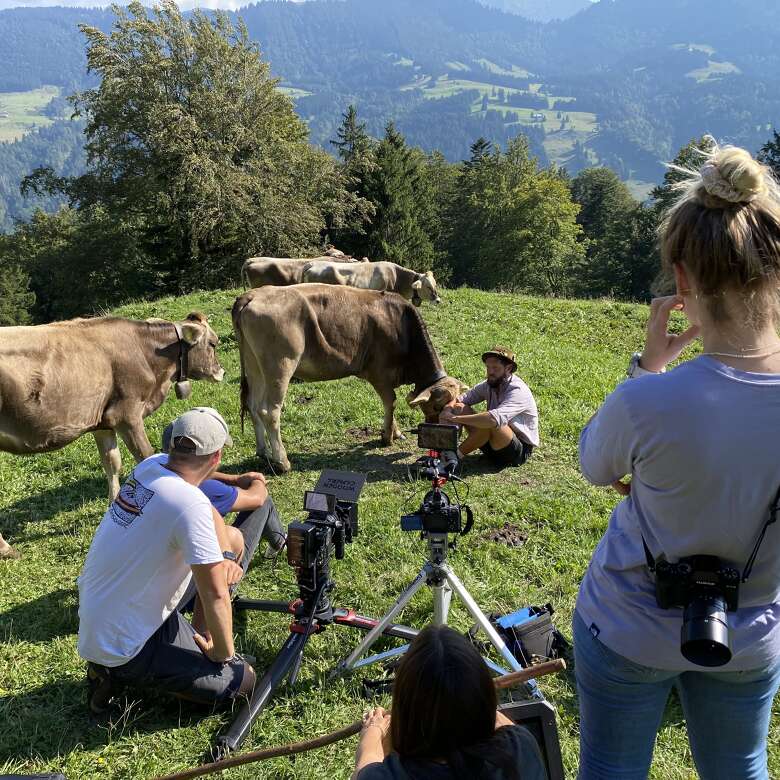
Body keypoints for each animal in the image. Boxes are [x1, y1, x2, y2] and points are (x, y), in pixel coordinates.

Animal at [0, 312, 225, 560]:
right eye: (213, 343)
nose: (221, 372)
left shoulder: (103, 422)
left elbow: (112, 463)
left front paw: (112, 505)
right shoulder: (128, 415)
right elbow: (145, 456)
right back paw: (7, 549)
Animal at [232, 284, 464, 472]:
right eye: (436, 407)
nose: (440, 440)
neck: (401, 324)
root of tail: (252, 294)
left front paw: (396, 432)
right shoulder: (380, 373)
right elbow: (391, 402)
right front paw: (387, 436)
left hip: (254, 365)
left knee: (253, 405)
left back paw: (263, 452)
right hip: (280, 366)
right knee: (269, 411)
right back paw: (282, 462)